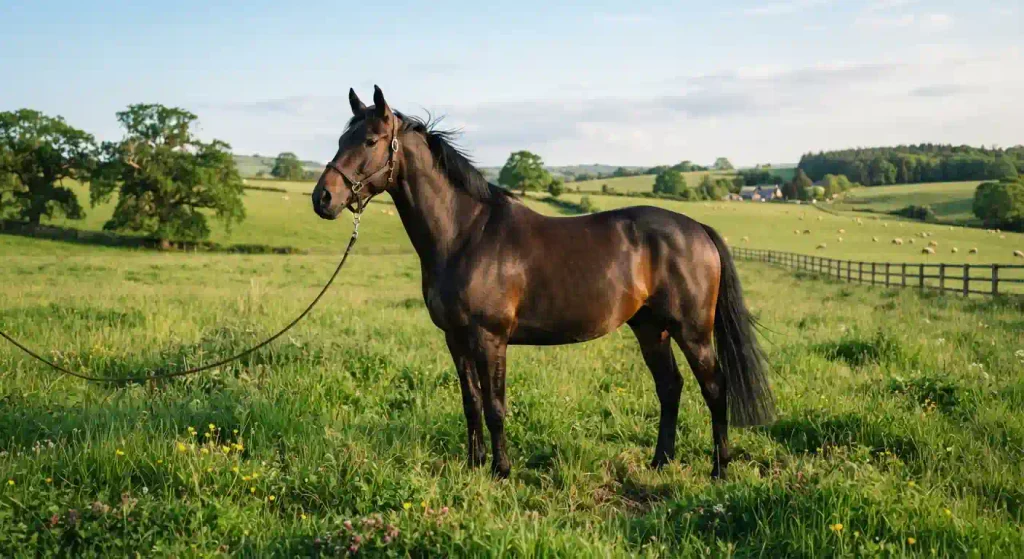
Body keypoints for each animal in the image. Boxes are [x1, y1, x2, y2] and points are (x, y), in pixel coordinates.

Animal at [312, 86, 775, 479]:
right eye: (341, 139)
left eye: (370, 141)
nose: (323, 198)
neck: (466, 233)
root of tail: (698, 229)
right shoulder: (455, 338)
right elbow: (471, 403)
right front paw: (473, 465)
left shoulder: (490, 338)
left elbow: (495, 406)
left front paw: (501, 471)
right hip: (650, 328)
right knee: (670, 387)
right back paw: (661, 461)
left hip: (691, 331)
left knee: (714, 388)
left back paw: (719, 469)